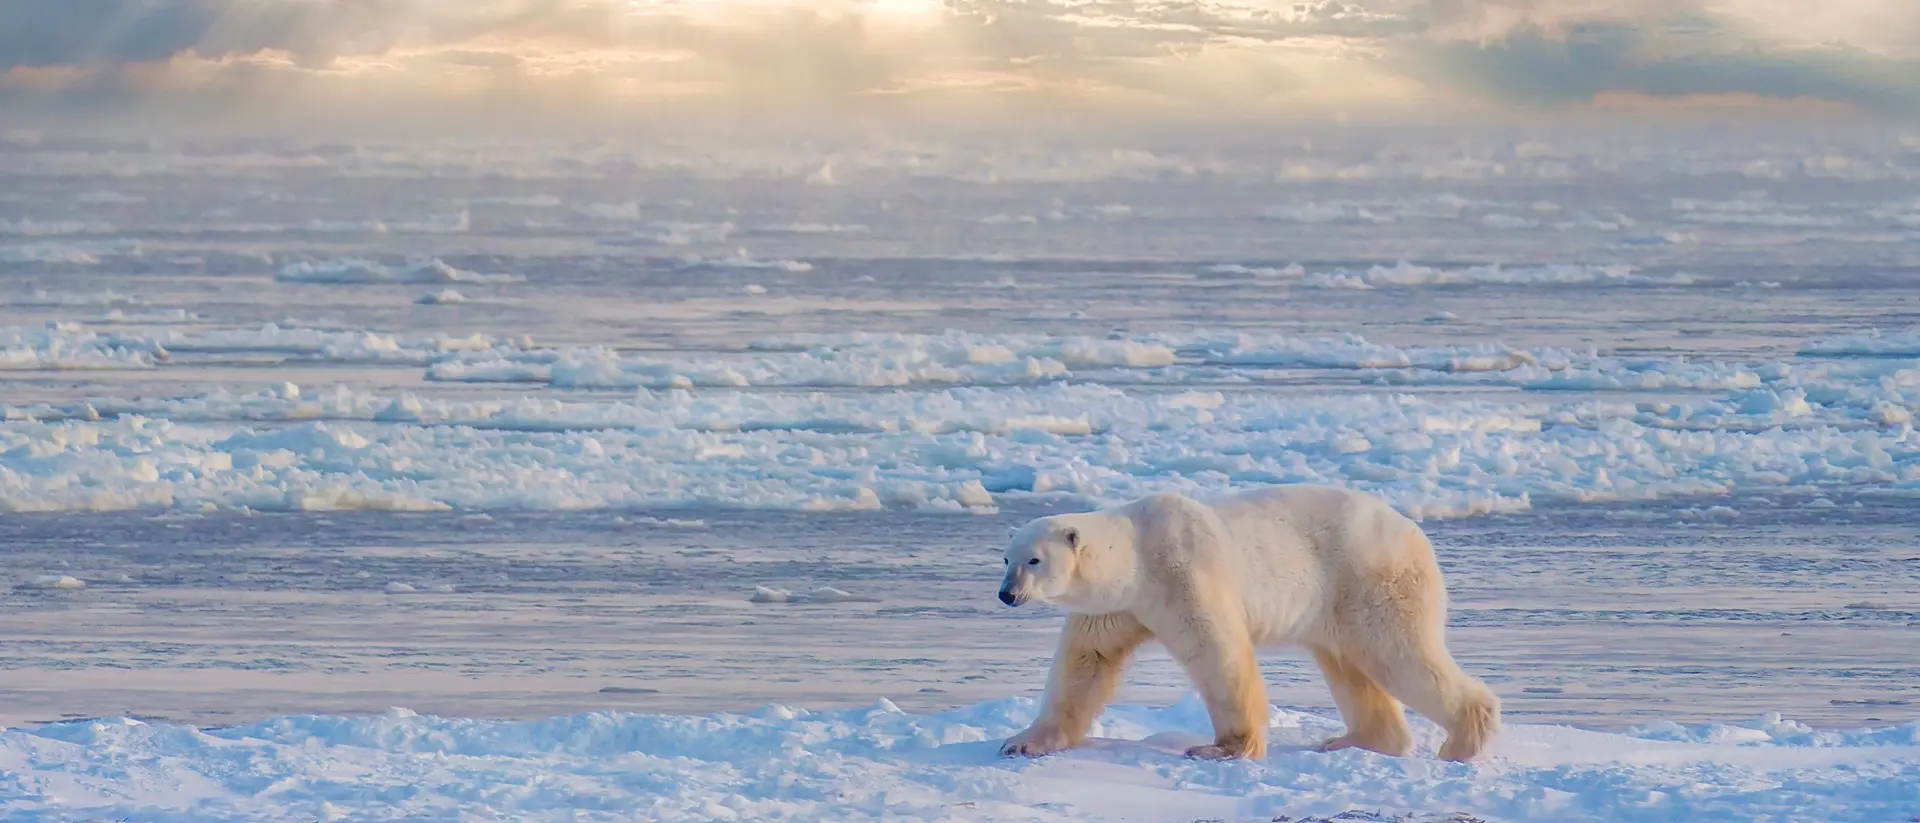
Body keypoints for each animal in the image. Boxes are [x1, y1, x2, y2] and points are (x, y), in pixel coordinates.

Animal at [994, 485, 1500, 762]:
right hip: (1338, 605)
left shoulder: (1184, 573)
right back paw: (1353, 740)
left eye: (1034, 560)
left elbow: (1218, 653)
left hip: (1371, 579)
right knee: (1350, 667)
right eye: (1006, 557)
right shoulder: (1115, 608)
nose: (1006, 594)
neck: (1137, 553)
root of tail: (1415, 531)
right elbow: (1086, 663)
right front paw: (1021, 742)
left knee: (1399, 653)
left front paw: (1223, 748)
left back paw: (1462, 741)